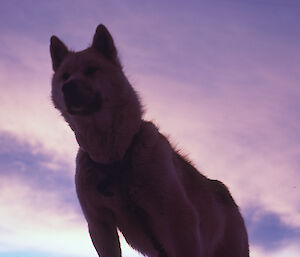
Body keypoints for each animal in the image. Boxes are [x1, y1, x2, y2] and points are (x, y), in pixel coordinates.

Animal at [50, 24, 250, 256]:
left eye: (92, 69)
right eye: (65, 76)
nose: (67, 88)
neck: (115, 159)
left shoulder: (179, 219)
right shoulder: (100, 226)